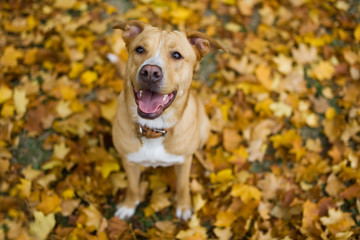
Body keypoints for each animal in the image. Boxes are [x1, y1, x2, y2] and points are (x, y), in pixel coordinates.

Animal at [111, 20, 224, 219]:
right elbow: (132, 187)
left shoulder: (184, 161)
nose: (150, 72)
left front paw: (184, 206)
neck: (154, 128)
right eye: (140, 49)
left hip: (203, 128)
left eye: (176, 55)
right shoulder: (129, 161)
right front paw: (128, 205)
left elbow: (183, 185)